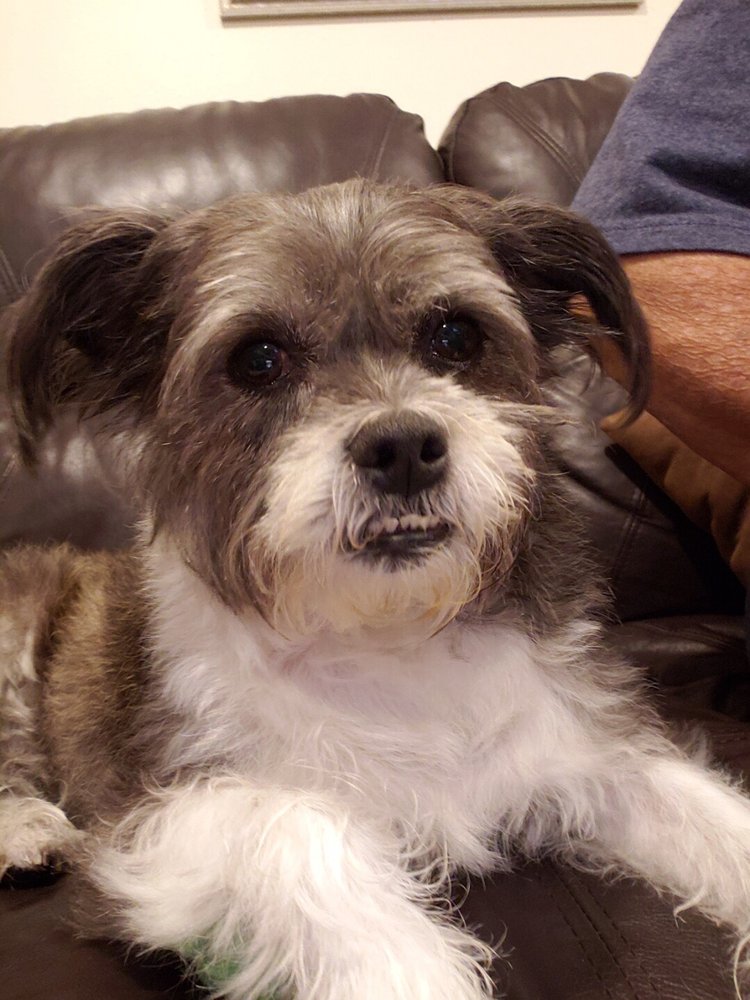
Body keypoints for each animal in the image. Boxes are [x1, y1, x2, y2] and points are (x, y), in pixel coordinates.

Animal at [1, 178, 750, 1000]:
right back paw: (26, 829)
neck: (388, 632)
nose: (403, 447)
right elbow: (301, 841)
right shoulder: (163, 819)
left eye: (455, 336)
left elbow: (706, 817)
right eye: (257, 358)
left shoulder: (585, 747)